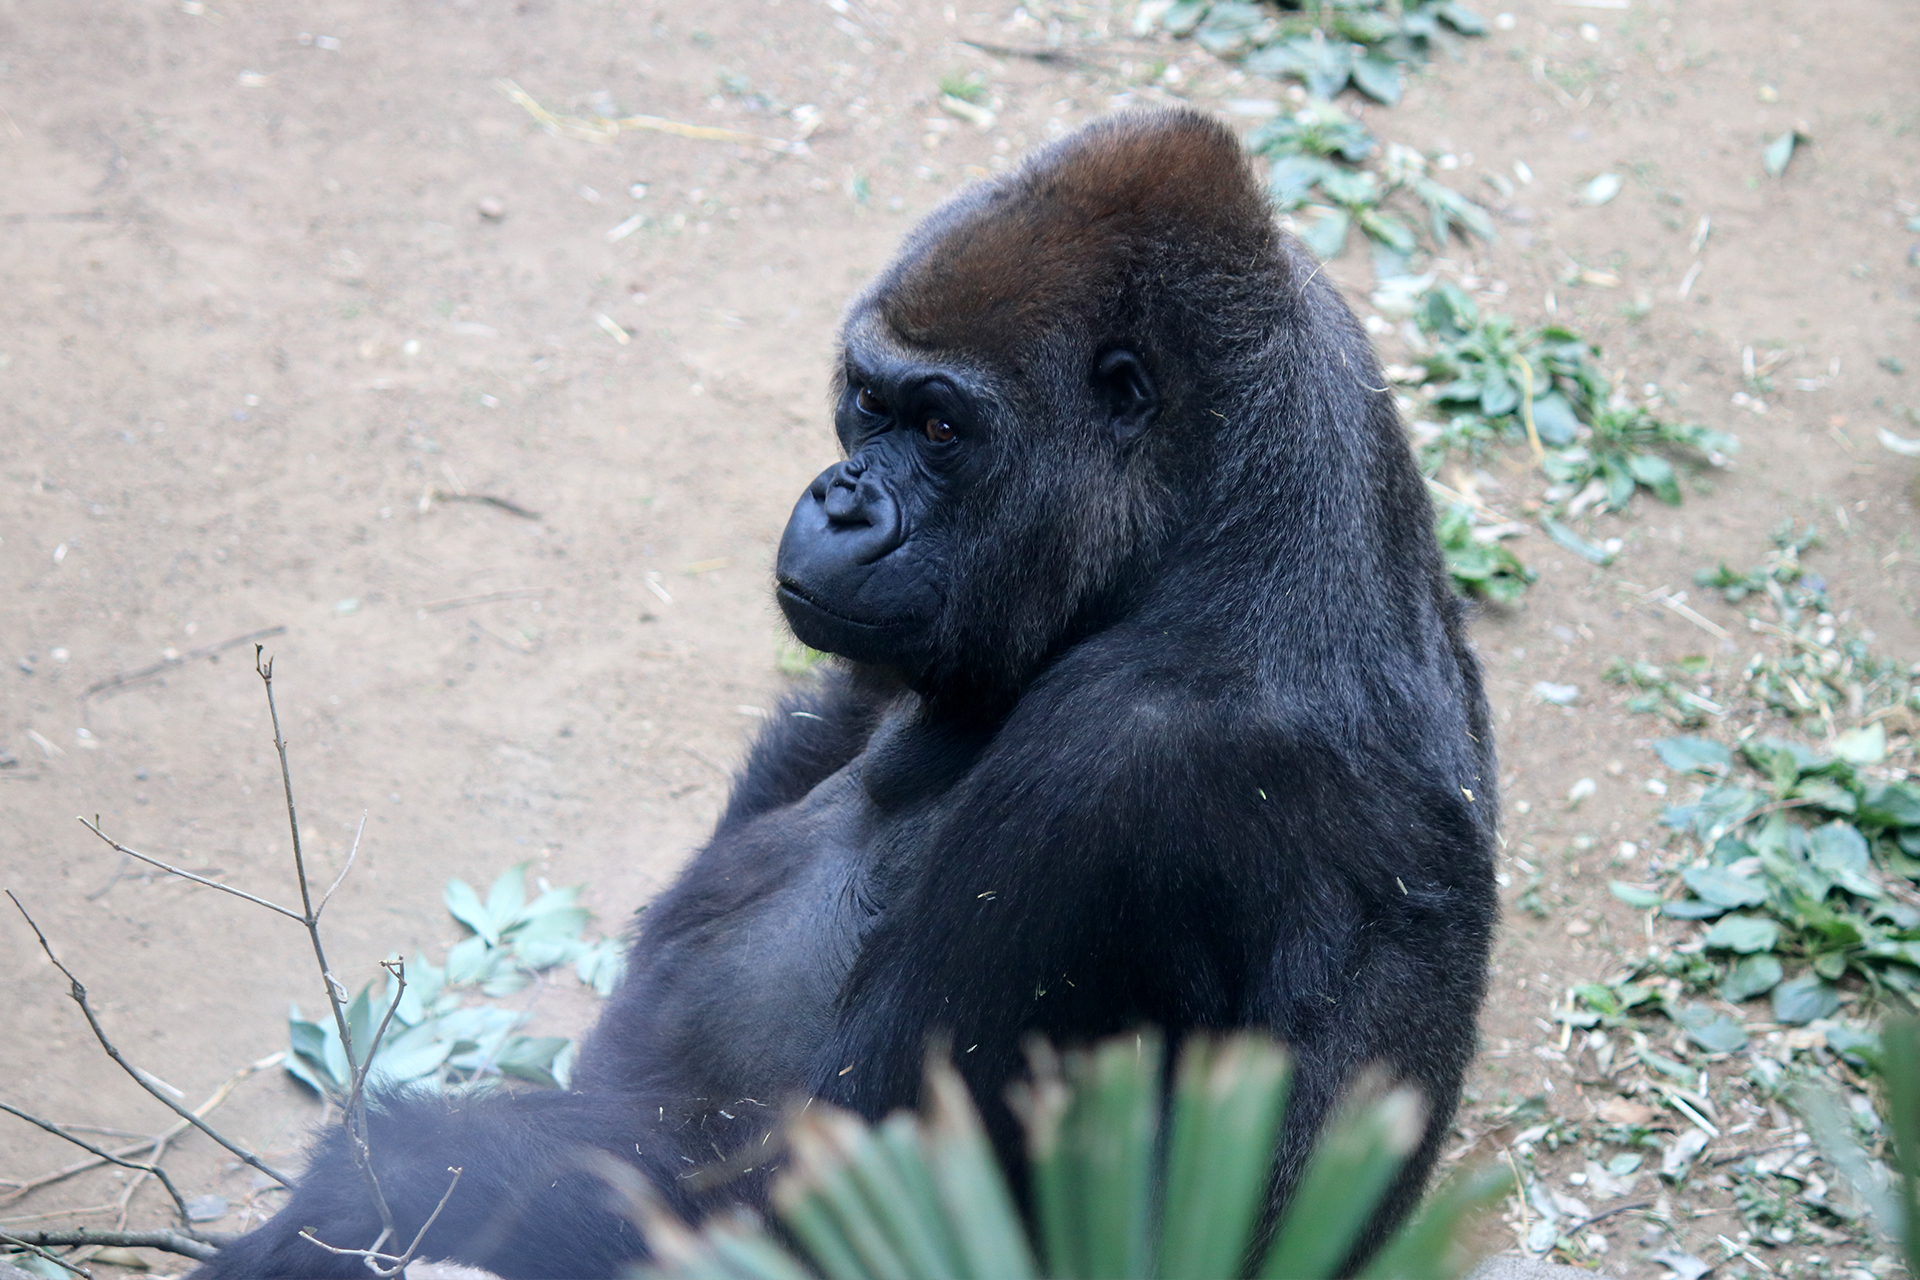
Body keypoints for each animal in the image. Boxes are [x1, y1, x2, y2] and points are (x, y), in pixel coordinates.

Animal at [194, 110, 1489, 1280]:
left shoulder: (1129, 772)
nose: (840, 500)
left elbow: (839, 1194)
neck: (1210, 512)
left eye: (940, 423)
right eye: (869, 398)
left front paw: (386, 1181)